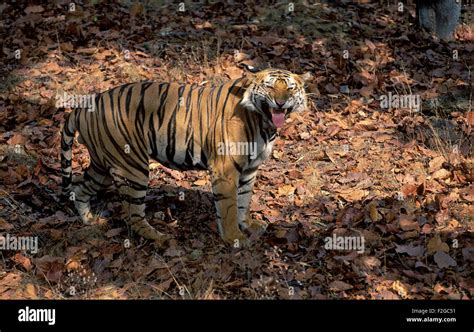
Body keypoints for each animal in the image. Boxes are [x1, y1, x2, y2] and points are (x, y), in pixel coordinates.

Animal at [60, 65, 312, 246]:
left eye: (290, 88)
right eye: (270, 87)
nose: (280, 102)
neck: (264, 123)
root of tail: (86, 105)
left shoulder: (249, 170)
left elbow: (244, 200)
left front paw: (249, 224)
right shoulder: (226, 169)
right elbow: (229, 207)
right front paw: (234, 238)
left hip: (103, 164)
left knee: (80, 188)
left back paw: (90, 221)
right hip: (131, 166)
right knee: (132, 213)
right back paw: (160, 238)